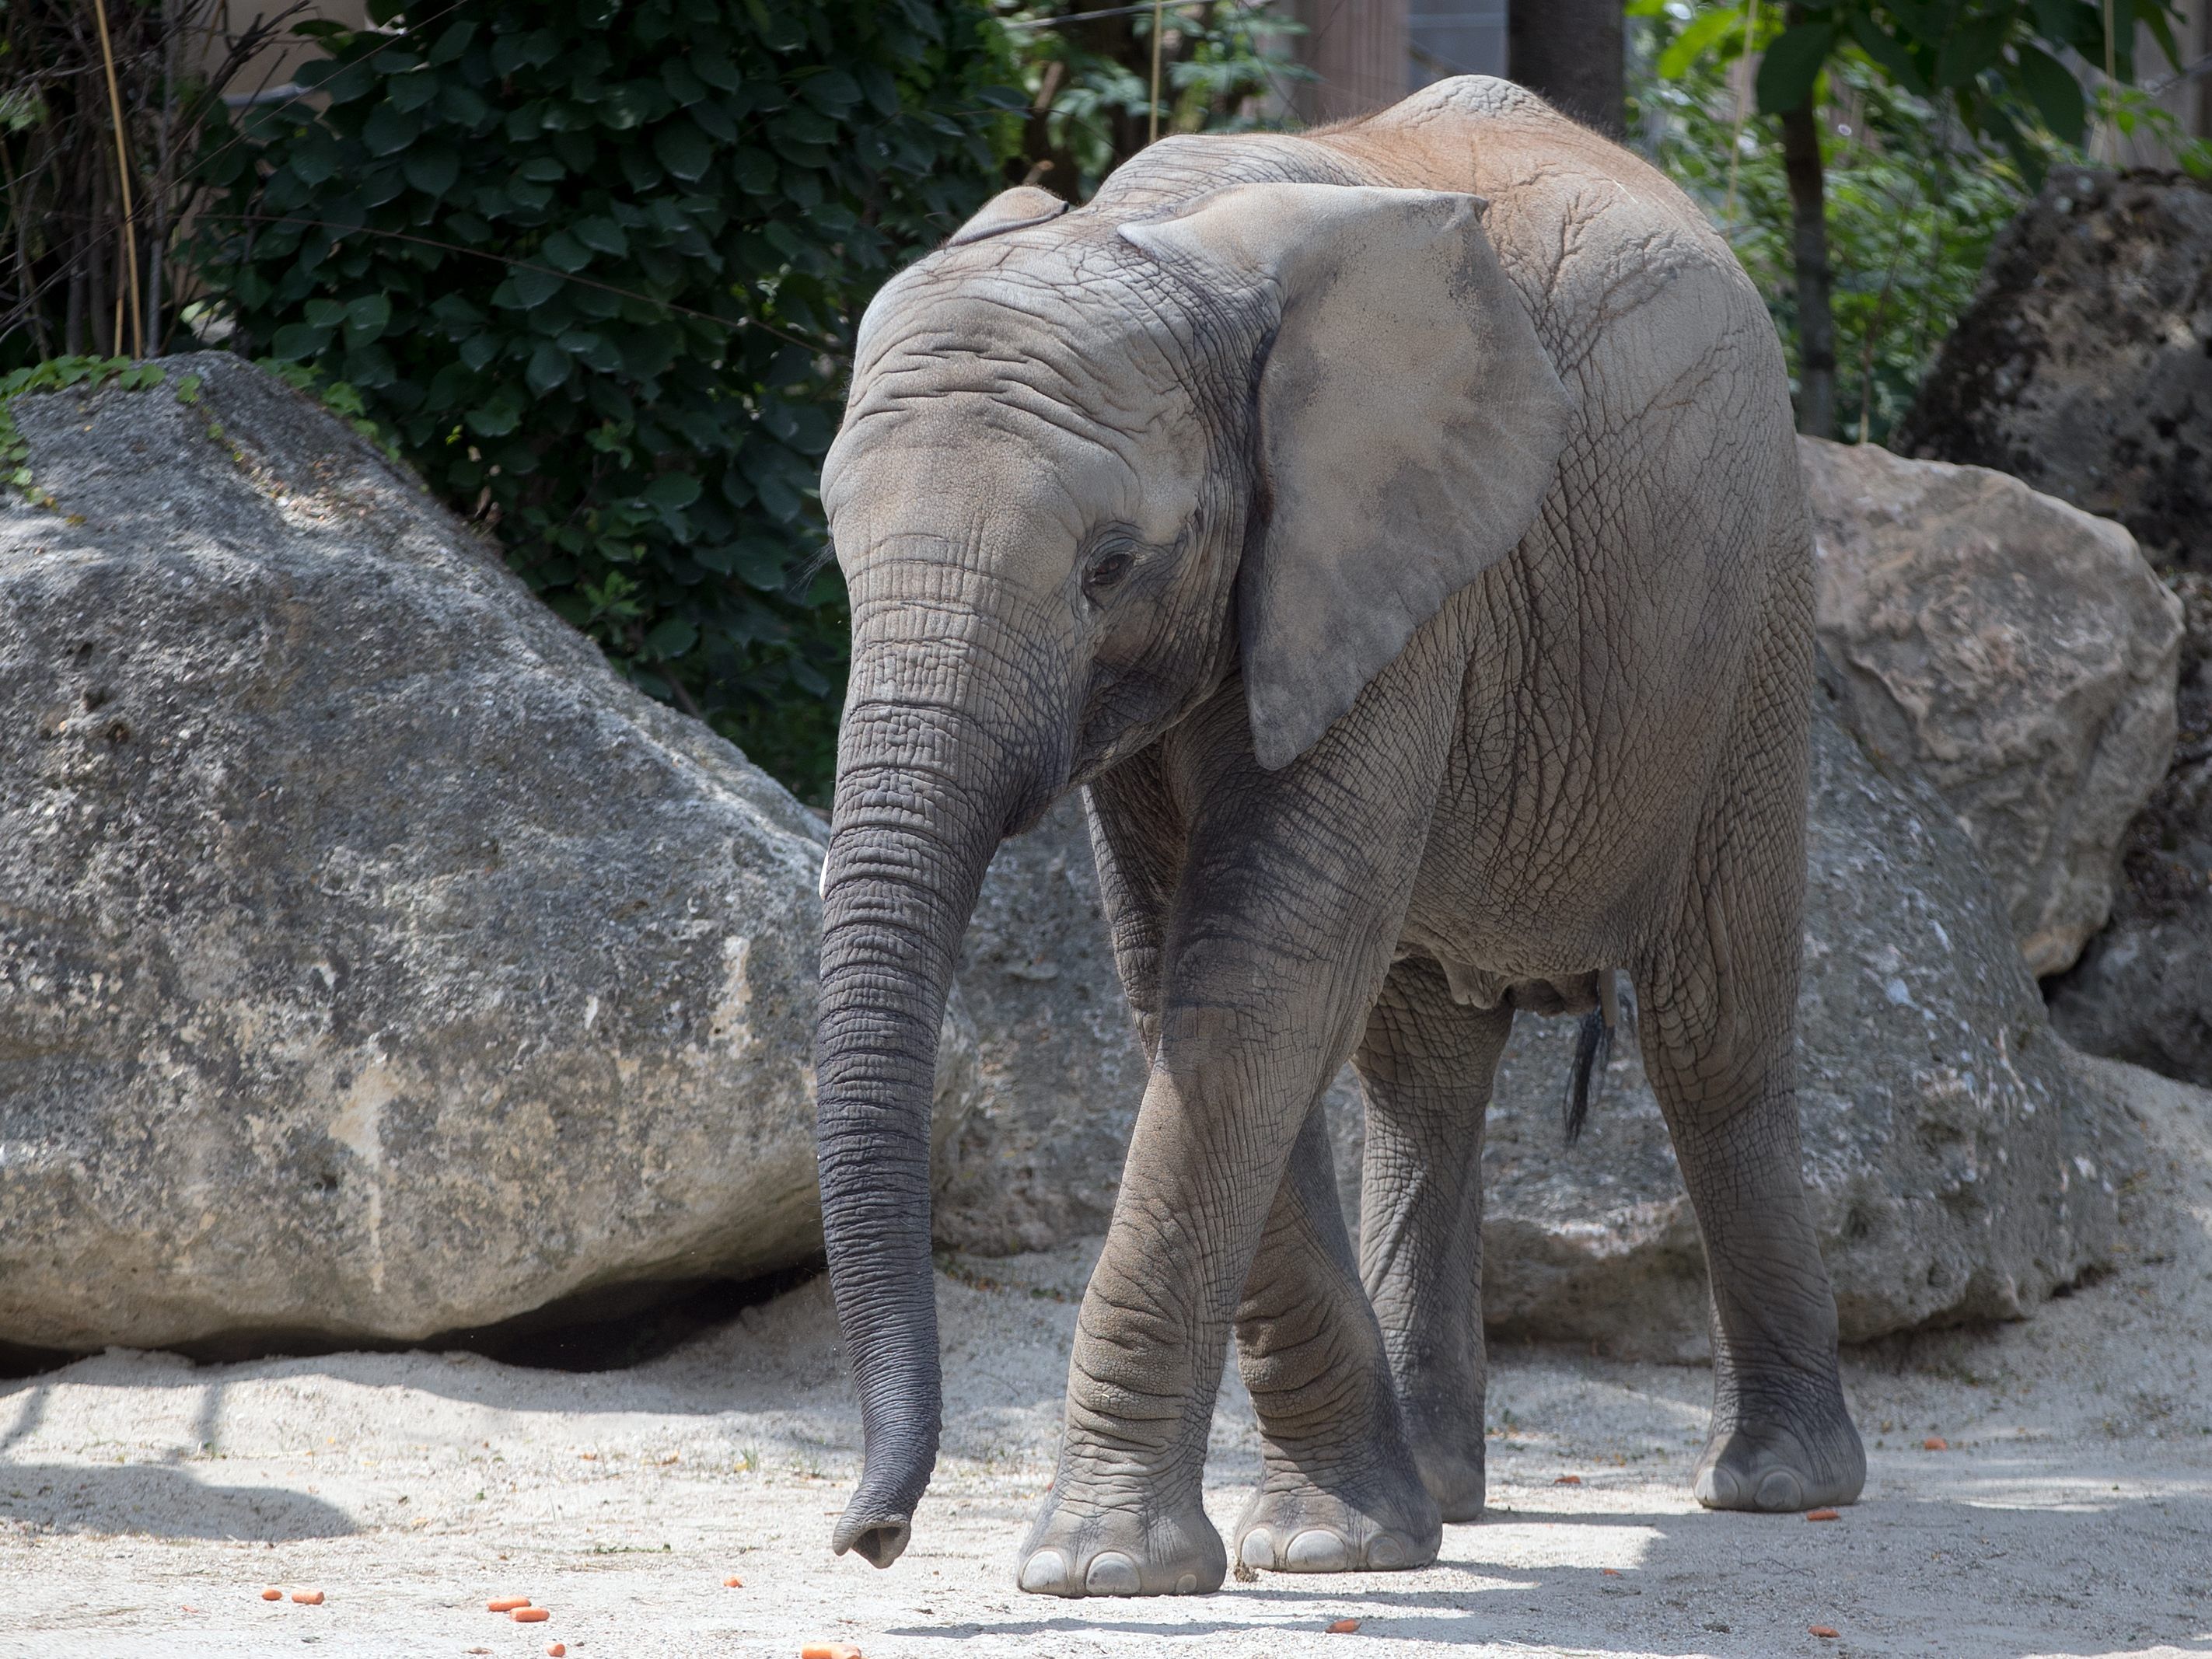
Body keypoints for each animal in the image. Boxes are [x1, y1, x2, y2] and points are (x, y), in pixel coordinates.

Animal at [805, 75, 1857, 1601]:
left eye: (1108, 565)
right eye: (836, 548)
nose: (871, 1535)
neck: (1155, 240)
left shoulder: (1391, 568)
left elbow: (1259, 973)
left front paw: (1097, 1569)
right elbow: (1189, 981)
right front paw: (1335, 1545)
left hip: (1755, 615)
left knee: (1710, 1030)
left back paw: (1778, 1483)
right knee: (1423, 1066)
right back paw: (1449, 1495)